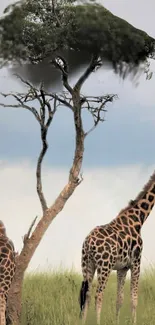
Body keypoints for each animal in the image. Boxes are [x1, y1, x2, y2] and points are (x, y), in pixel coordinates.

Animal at [79, 170, 155, 324]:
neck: (139, 219)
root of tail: (89, 243)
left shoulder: (122, 268)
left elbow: (119, 299)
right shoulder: (136, 262)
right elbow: (134, 299)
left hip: (87, 265)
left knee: (87, 295)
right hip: (104, 266)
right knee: (98, 295)